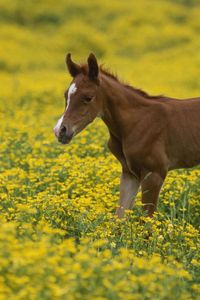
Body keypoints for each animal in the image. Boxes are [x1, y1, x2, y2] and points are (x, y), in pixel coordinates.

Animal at [54, 53, 200, 218]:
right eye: (66, 95)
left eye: (88, 97)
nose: (60, 130)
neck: (136, 122)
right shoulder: (129, 174)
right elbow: (119, 217)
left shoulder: (154, 174)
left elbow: (146, 221)